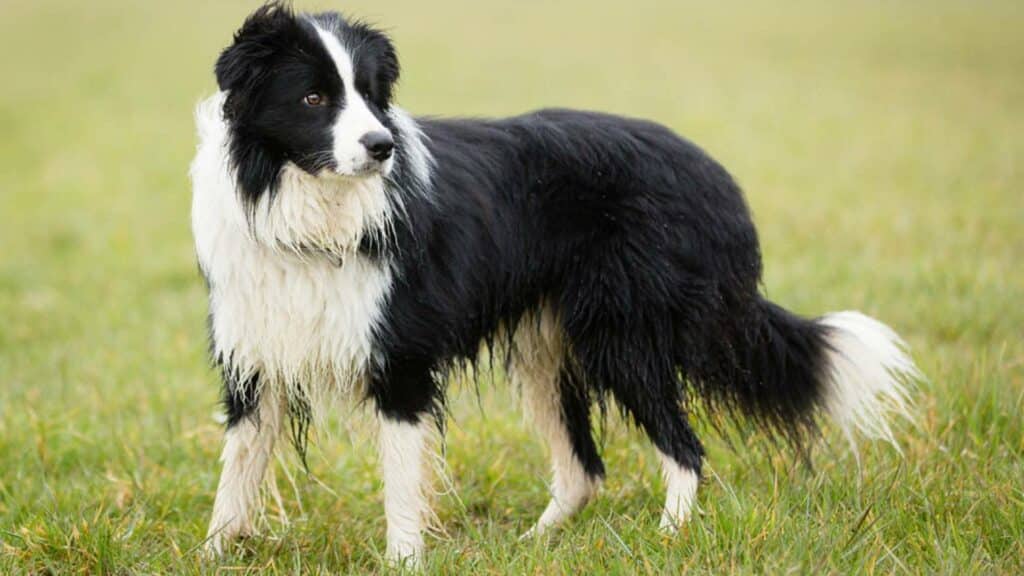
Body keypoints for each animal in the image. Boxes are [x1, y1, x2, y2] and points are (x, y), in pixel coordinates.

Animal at [190, 2, 921, 561]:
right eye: (314, 97)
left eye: (371, 96)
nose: (382, 147)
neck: (307, 204)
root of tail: (713, 174)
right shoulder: (255, 353)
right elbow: (237, 471)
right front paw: (213, 553)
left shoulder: (401, 359)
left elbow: (400, 481)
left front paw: (402, 560)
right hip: (548, 346)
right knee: (583, 469)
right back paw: (535, 543)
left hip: (624, 334)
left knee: (683, 448)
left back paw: (670, 537)